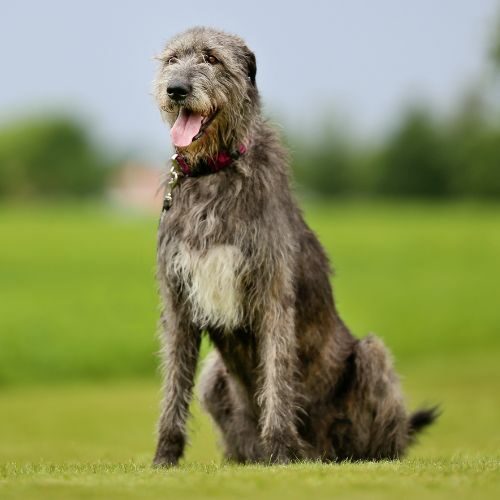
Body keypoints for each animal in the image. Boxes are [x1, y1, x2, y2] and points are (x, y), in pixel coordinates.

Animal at [152, 26, 438, 464]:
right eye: (171, 60)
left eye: (212, 58)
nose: (176, 89)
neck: (214, 172)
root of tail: (324, 451)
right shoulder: (178, 299)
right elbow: (173, 384)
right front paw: (164, 457)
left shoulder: (272, 292)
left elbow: (277, 375)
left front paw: (281, 449)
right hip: (214, 376)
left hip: (371, 357)